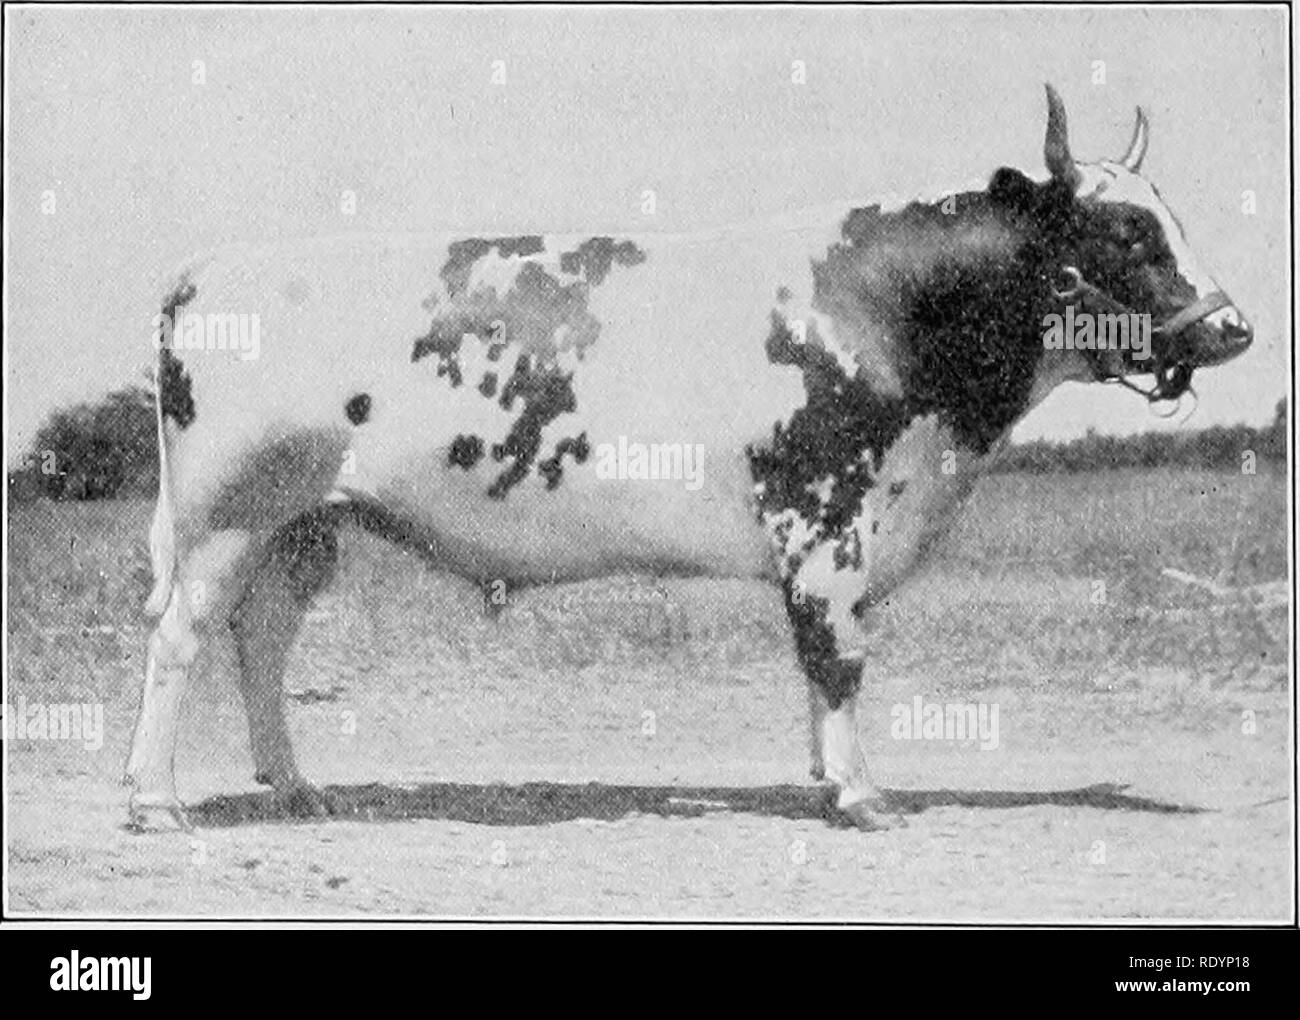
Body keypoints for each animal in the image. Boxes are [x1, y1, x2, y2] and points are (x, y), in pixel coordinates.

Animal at [126, 87, 1253, 831]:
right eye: (1124, 231)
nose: (1233, 327)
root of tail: (212, 266)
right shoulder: (824, 515)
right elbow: (837, 655)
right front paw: (861, 795)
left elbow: (824, 657)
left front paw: (823, 775)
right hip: (230, 512)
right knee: (183, 635)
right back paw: (153, 800)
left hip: (302, 522)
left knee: (261, 639)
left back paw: (295, 787)